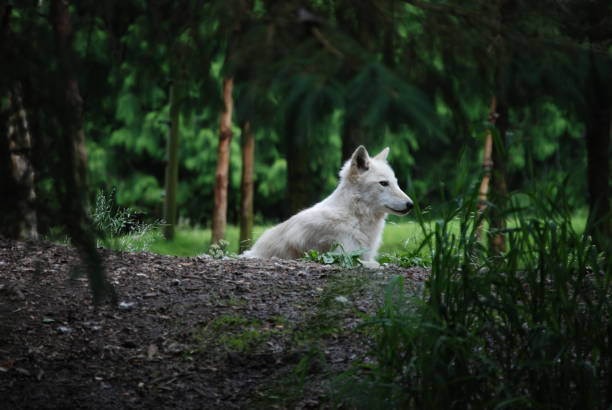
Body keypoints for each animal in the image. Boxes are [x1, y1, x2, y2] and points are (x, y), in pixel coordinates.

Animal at [241, 146, 414, 268]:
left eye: (396, 182)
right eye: (383, 183)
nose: (411, 205)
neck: (354, 216)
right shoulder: (345, 256)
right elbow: (378, 264)